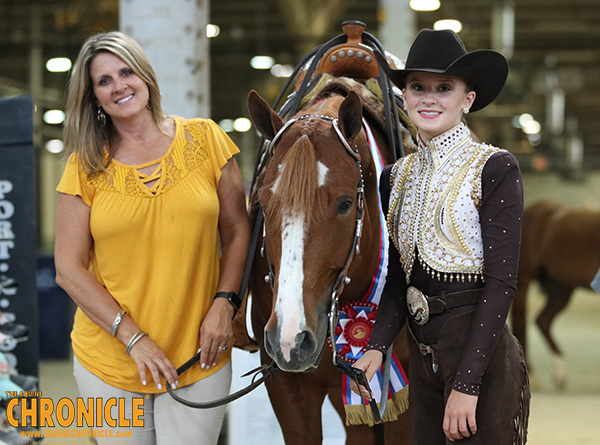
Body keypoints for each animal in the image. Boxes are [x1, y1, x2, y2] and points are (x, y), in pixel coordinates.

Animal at [510, 199, 600, 386]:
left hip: (560, 289)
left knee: (543, 320)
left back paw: (560, 374)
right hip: (524, 281)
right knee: (521, 321)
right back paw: (533, 375)